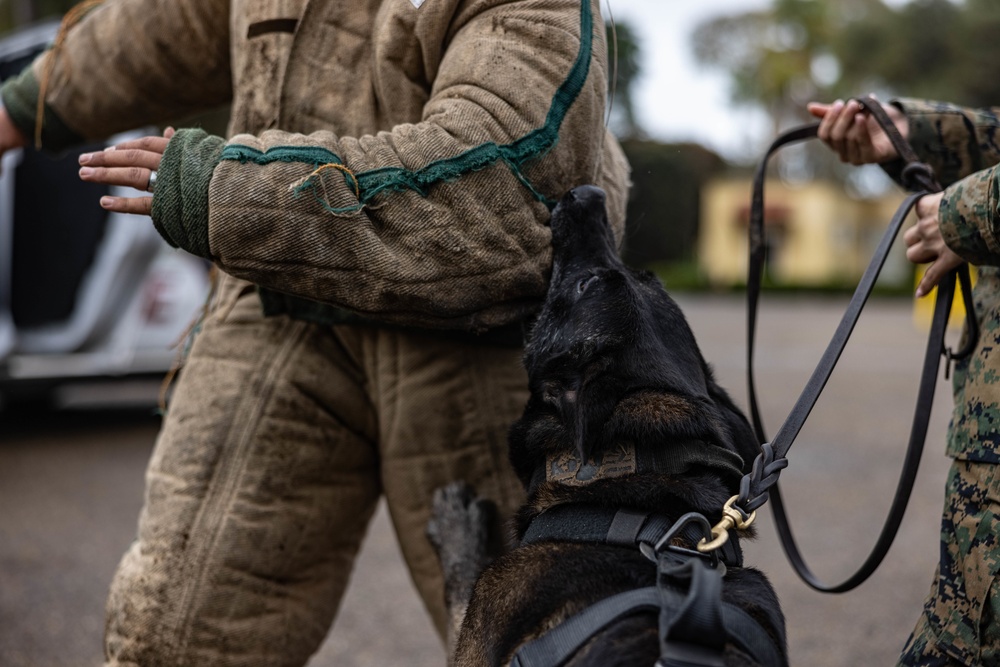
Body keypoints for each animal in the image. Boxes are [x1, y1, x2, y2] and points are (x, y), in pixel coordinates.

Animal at [430, 187, 788, 667]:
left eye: (586, 285)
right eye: (648, 277)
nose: (589, 194)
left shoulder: (476, 640)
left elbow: (458, 589)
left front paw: (456, 524)